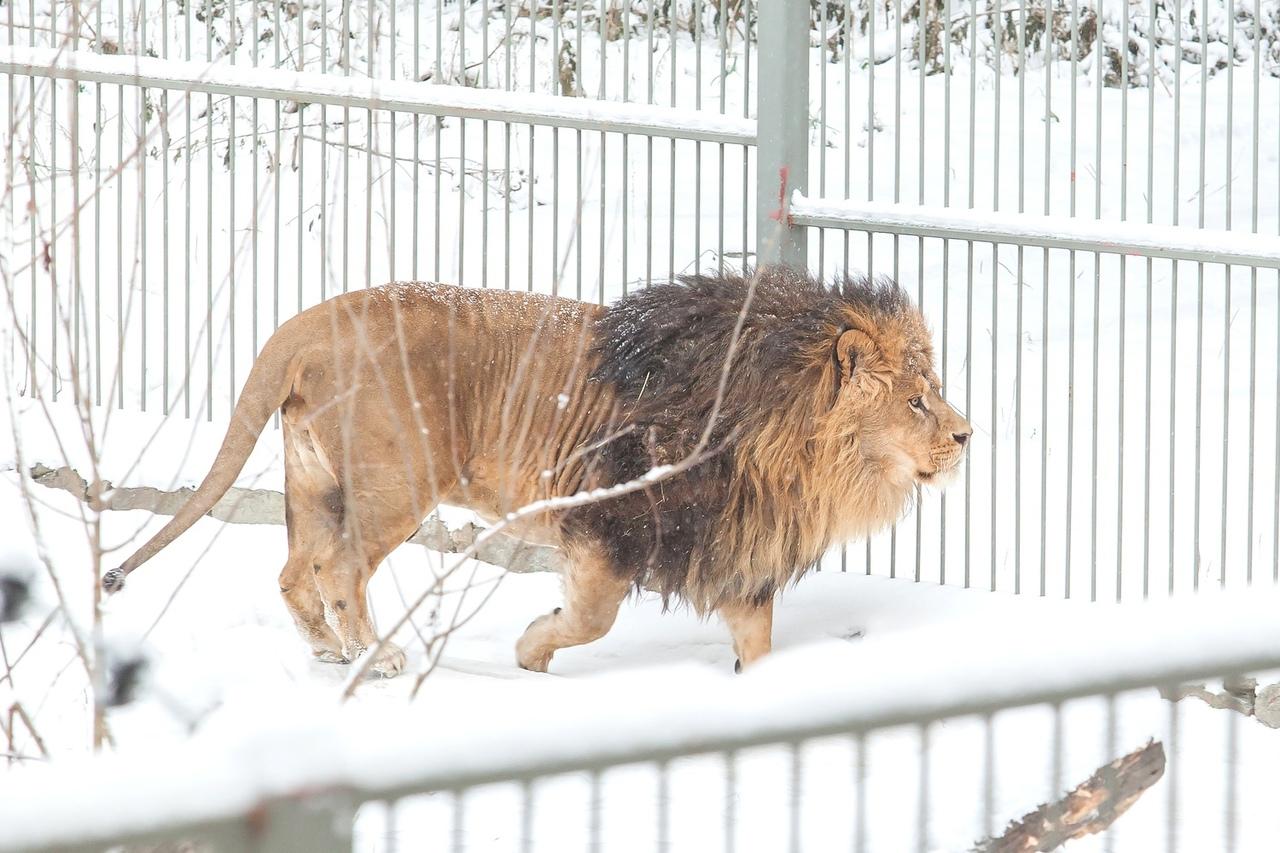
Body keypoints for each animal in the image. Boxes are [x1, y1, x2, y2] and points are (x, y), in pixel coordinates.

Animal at [104, 268, 967, 676]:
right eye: (917, 399)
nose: (966, 434)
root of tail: (304, 323)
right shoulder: (611, 523)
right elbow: (590, 618)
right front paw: (529, 649)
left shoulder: (732, 546)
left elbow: (756, 641)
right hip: (394, 483)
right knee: (339, 567)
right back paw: (377, 657)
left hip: (314, 479)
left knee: (293, 569)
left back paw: (328, 651)